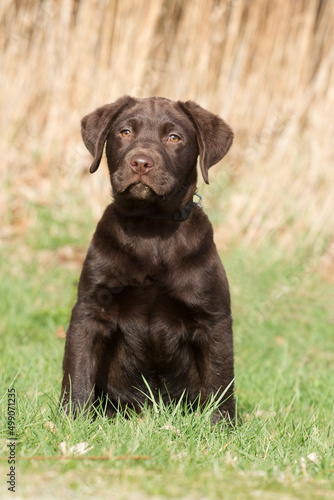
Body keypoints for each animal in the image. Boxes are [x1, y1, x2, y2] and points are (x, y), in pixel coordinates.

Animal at [61, 94, 236, 422]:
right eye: (125, 132)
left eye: (174, 138)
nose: (141, 163)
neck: (151, 227)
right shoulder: (90, 309)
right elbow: (77, 369)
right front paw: (72, 420)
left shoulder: (212, 317)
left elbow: (220, 378)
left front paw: (223, 428)